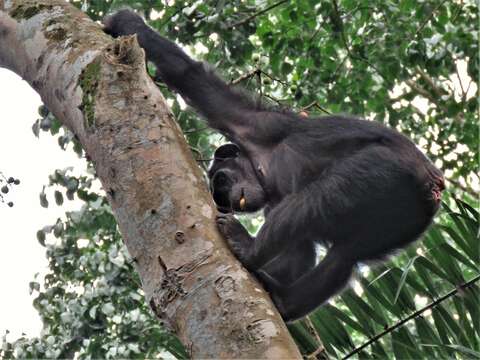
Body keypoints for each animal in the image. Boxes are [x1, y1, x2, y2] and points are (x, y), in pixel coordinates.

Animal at [103, 10, 444, 320]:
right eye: (220, 195)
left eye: (221, 182)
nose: (229, 201)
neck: (260, 167)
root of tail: (434, 185)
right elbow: (297, 254)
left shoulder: (256, 125)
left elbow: (191, 77)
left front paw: (126, 21)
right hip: (401, 224)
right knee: (347, 253)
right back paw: (286, 302)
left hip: (383, 167)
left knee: (315, 199)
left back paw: (247, 247)